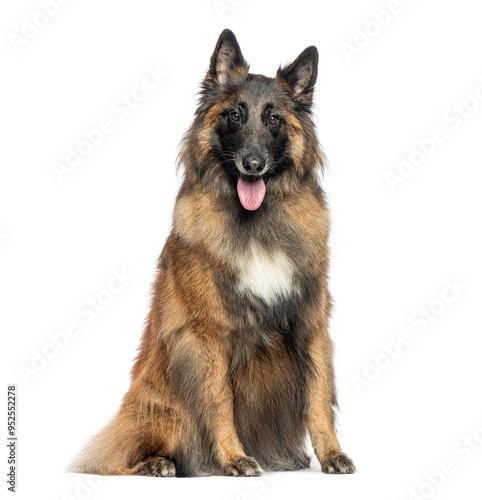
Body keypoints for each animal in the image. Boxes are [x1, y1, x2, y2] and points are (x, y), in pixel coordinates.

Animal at [72, 29, 358, 478]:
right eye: (235, 115)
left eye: (274, 119)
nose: (253, 164)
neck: (254, 224)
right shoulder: (206, 333)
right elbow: (219, 400)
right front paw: (234, 457)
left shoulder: (310, 323)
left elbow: (318, 397)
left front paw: (331, 454)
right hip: (163, 408)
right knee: (119, 459)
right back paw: (159, 464)